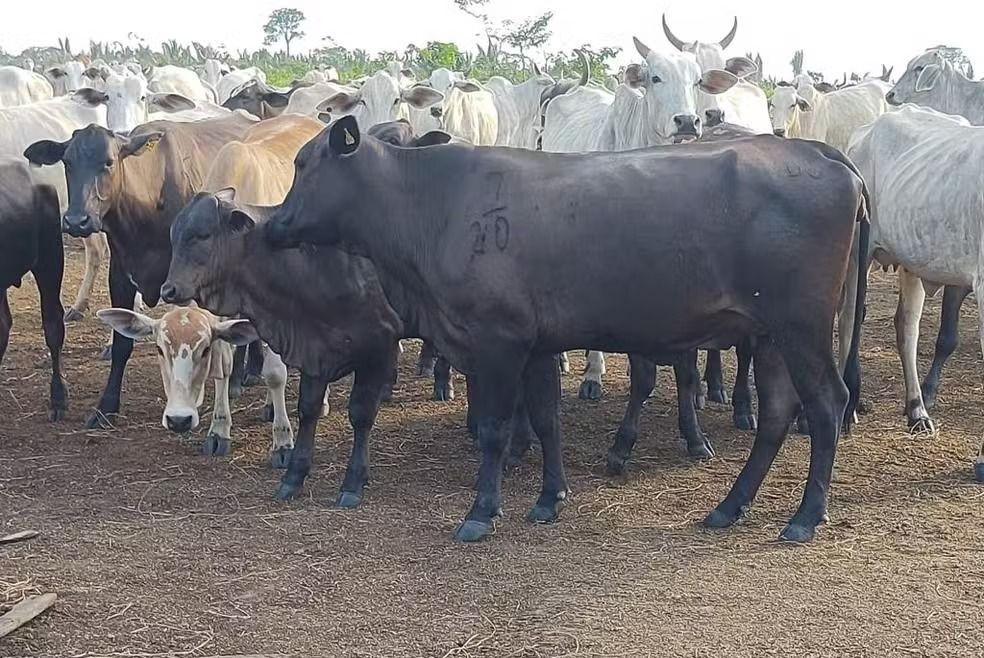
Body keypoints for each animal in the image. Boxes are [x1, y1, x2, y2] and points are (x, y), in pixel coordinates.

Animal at [99, 304, 300, 464]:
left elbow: (275, 373)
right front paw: (219, 430)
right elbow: (224, 364)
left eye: (205, 350)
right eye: (159, 349)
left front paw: (283, 443)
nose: (178, 420)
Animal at [264, 114, 868, 544]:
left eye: (303, 164)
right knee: (776, 414)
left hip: (802, 327)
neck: (433, 204)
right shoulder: (536, 346)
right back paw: (729, 506)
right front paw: (549, 499)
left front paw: (481, 511)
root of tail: (819, 150)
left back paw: (806, 516)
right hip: (768, 335)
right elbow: (547, 420)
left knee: (825, 403)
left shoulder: (498, 341)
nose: (273, 224)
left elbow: (495, 429)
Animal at [840, 104, 984, 482]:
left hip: (911, 263)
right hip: (857, 254)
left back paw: (917, 410)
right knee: (848, 320)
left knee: (907, 328)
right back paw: (849, 408)